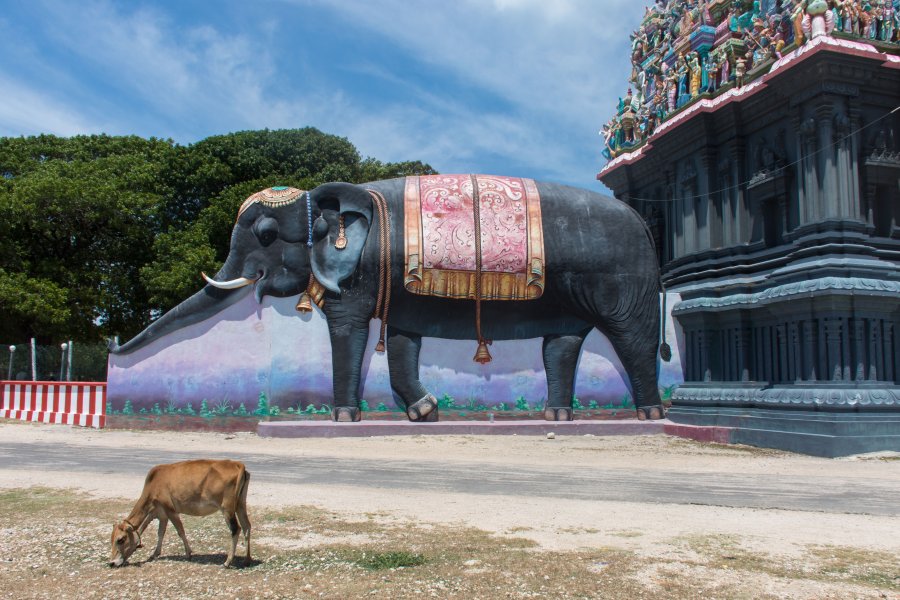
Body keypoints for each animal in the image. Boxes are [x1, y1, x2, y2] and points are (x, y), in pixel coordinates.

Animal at [108, 460, 250, 568]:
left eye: (120, 539)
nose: (111, 563)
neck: (153, 484)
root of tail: (238, 464)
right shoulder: (160, 514)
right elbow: (160, 533)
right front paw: (155, 553)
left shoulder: (170, 510)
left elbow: (180, 531)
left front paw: (188, 553)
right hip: (240, 504)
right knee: (246, 526)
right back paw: (247, 559)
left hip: (227, 508)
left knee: (236, 529)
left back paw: (227, 562)